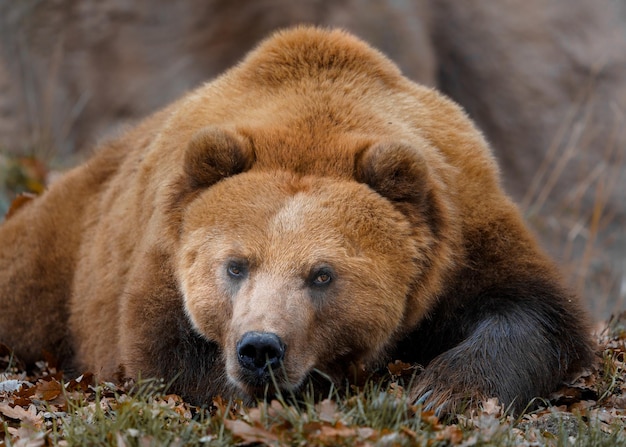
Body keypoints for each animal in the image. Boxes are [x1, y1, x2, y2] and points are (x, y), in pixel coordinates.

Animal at [0, 27, 592, 412]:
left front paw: (441, 390)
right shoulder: (164, 249)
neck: (312, 124)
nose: (260, 348)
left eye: (322, 274)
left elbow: (531, 310)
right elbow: (166, 349)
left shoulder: (463, 228)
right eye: (235, 265)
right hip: (64, 255)